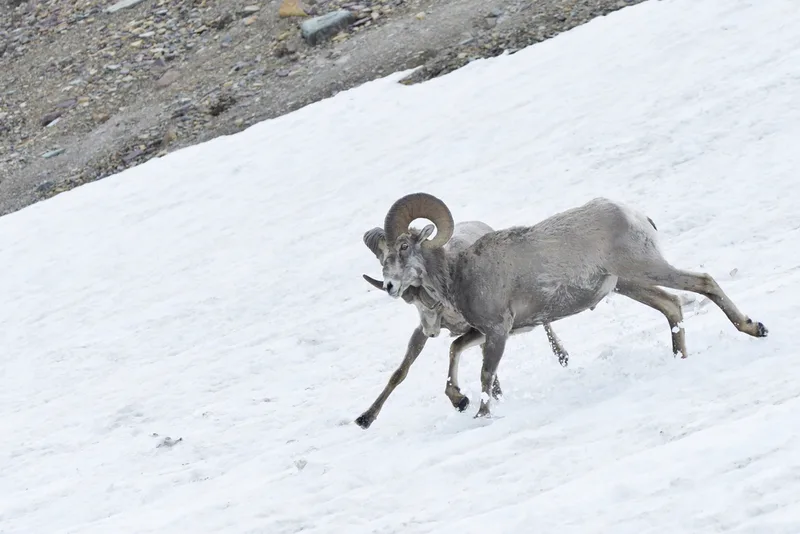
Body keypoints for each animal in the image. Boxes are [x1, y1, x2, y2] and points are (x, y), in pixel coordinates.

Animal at [355, 221, 569, 430]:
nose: (431, 332)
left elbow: (455, 349)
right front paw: (365, 418)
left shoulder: (483, 328)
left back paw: (562, 356)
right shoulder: (422, 332)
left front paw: (460, 400)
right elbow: (400, 372)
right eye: (412, 303)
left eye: (403, 248)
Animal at [372, 192, 768, 420]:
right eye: (384, 255)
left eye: (404, 247)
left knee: (703, 282)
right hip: (629, 284)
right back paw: (680, 358)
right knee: (671, 306)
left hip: (647, 269)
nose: (389, 286)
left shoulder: (498, 332)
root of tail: (634, 214)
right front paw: (460, 401)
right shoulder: (487, 332)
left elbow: (485, 374)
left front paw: (481, 415)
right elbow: (456, 352)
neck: (459, 272)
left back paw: (754, 328)